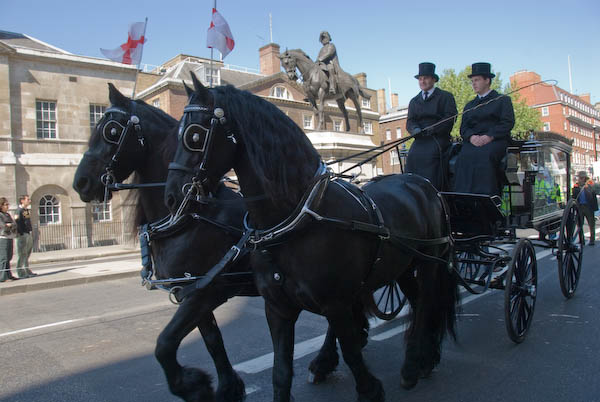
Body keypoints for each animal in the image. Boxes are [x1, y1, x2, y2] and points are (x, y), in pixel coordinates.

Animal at [71, 83, 360, 400]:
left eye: (110, 130)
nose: (80, 182)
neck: (191, 215)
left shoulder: (210, 290)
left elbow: (165, 344)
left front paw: (193, 386)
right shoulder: (190, 291)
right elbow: (212, 340)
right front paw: (226, 386)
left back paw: (324, 360)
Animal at [164, 75, 460, 402]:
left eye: (194, 135)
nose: (172, 196)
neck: (297, 217)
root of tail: (422, 183)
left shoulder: (336, 303)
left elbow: (352, 353)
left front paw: (369, 388)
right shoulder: (276, 308)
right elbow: (280, 373)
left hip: (430, 262)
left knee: (428, 304)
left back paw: (413, 364)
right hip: (403, 266)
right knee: (419, 303)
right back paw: (423, 358)